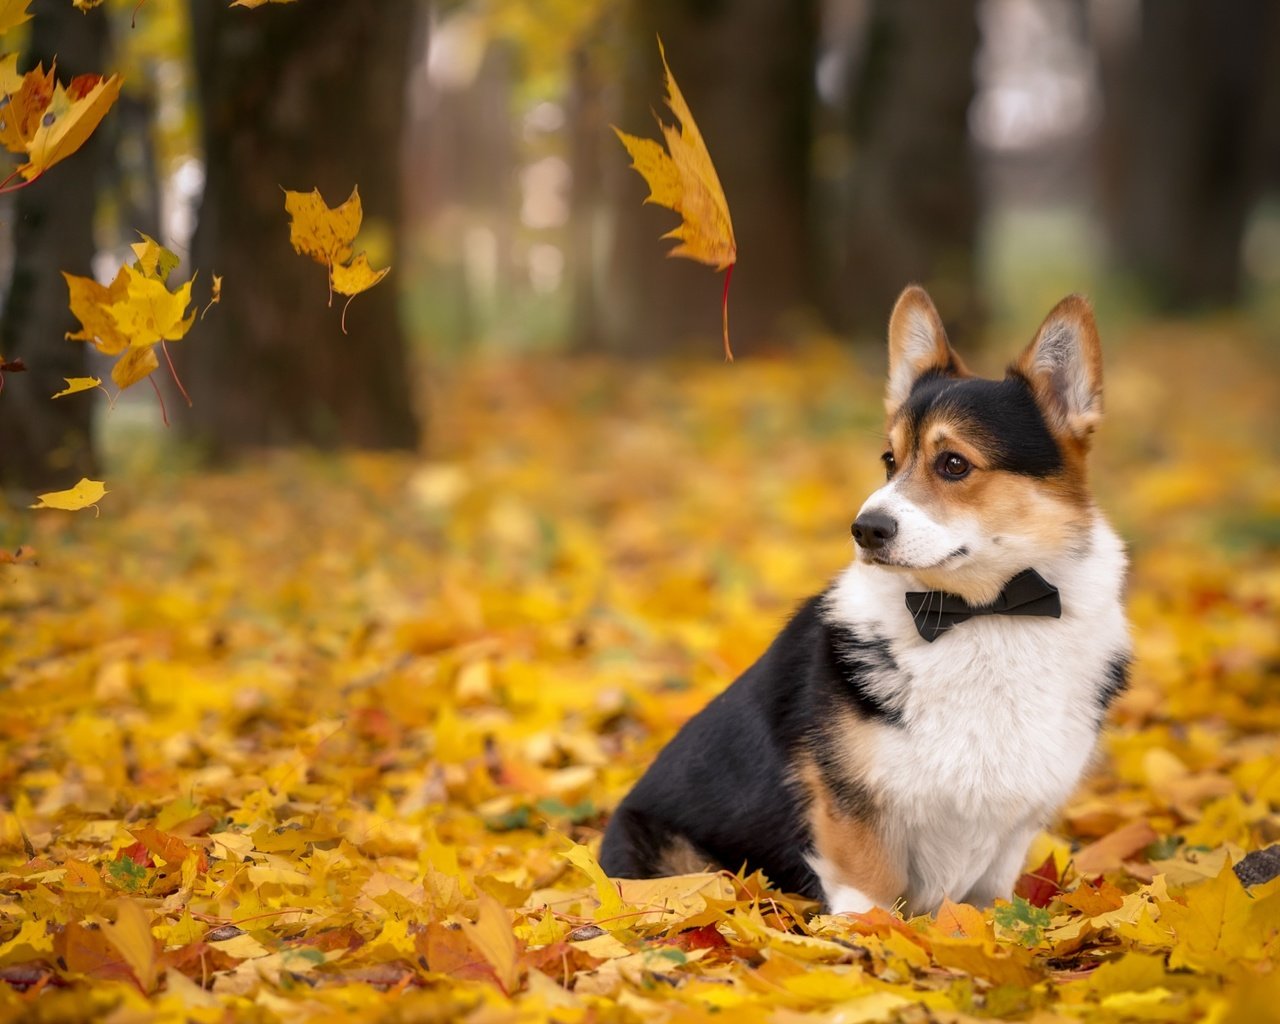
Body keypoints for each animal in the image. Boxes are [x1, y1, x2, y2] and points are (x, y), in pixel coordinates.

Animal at [599, 285, 1131, 911]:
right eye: (889, 461)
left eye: (954, 463)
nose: (865, 529)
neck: (980, 613)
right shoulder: (853, 807)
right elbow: (869, 891)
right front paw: (868, 938)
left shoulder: (1011, 831)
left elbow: (988, 903)